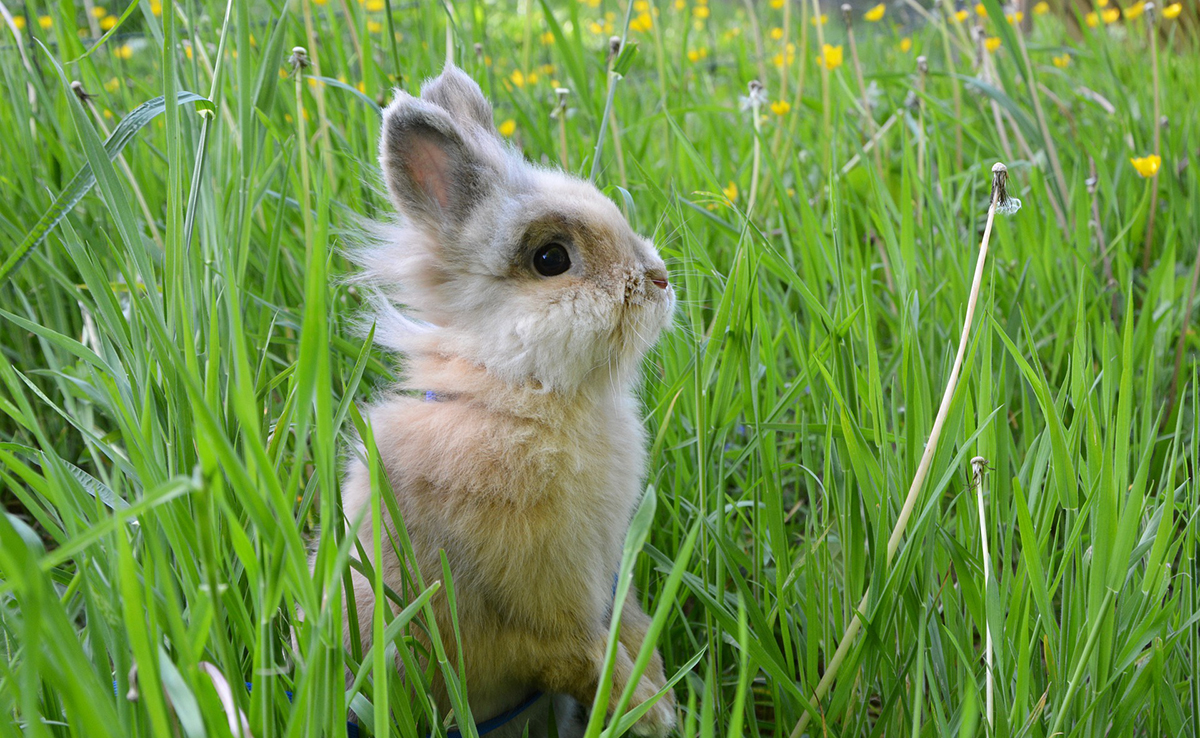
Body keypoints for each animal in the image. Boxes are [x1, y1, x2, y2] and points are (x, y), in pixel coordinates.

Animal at [333, 65, 681, 738]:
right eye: (551, 259)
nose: (658, 279)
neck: (522, 394)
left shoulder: (606, 581)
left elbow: (627, 628)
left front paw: (660, 694)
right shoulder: (543, 614)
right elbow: (588, 658)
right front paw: (653, 711)